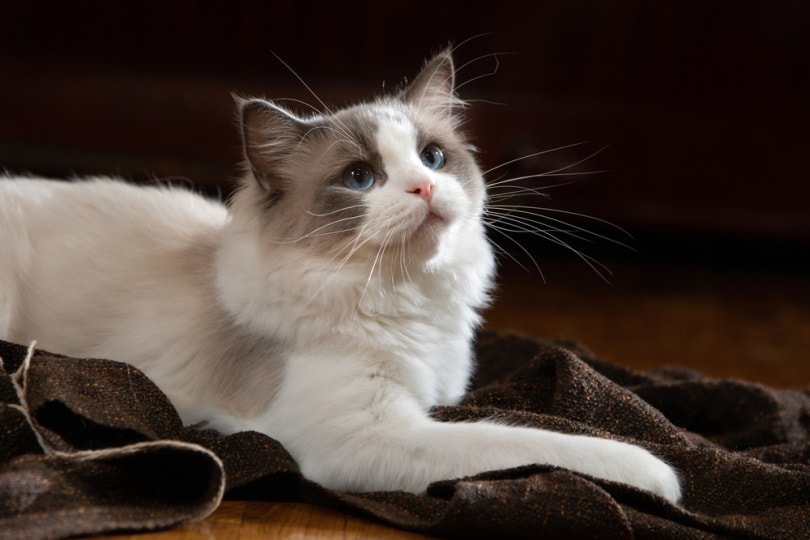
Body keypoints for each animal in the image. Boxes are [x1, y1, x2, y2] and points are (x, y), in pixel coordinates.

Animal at [0, 49, 680, 502]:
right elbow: (528, 443)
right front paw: (661, 478)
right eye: (360, 178)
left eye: (433, 158)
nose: (425, 187)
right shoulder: (368, 436)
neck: (404, 299)